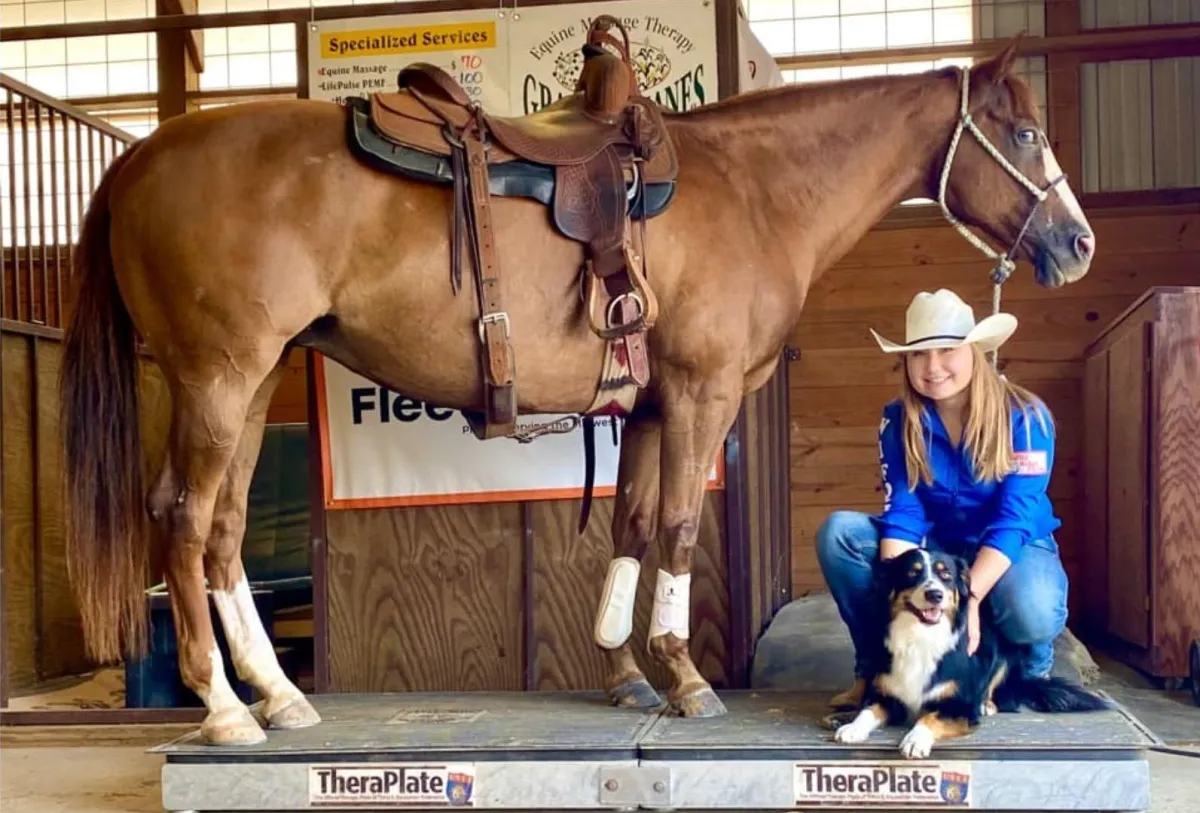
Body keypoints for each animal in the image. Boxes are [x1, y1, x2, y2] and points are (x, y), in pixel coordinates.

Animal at [58, 42, 1099, 743]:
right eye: (1024, 131)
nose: (1078, 242)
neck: (756, 189)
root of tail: (141, 156)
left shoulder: (647, 406)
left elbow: (631, 526)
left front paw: (627, 673)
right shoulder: (700, 396)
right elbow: (677, 527)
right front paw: (685, 677)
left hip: (256, 376)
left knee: (224, 528)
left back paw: (279, 694)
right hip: (218, 378)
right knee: (183, 518)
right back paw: (225, 708)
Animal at [835, 551, 1104, 762]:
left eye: (945, 575)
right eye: (912, 573)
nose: (935, 595)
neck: (920, 636)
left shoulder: (960, 707)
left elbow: (930, 717)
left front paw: (915, 740)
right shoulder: (887, 694)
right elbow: (868, 710)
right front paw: (852, 728)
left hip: (1005, 655)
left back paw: (987, 703)